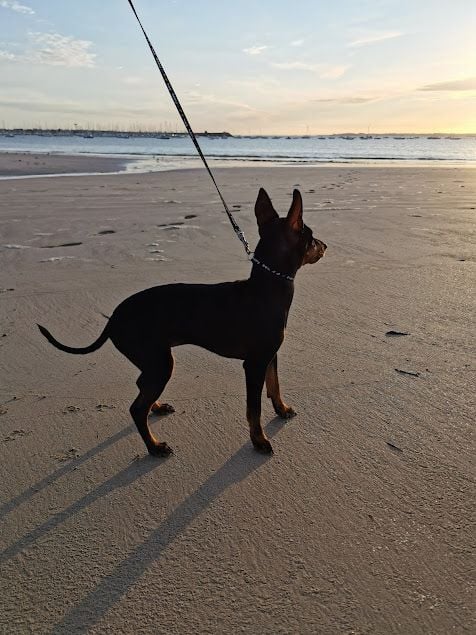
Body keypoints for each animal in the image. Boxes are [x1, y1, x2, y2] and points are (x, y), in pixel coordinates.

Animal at [38, 188, 326, 456]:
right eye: (311, 237)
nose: (325, 246)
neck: (267, 287)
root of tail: (115, 317)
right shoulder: (253, 364)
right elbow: (253, 409)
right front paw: (259, 440)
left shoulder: (270, 355)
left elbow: (274, 384)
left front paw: (282, 409)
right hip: (160, 362)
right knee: (137, 407)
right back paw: (154, 446)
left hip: (153, 360)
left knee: (142, 387)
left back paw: (157, 408)